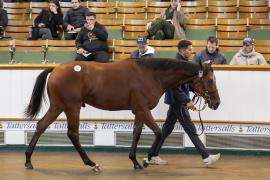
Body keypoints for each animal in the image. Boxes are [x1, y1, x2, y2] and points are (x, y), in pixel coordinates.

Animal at [24, 58, 219, 172]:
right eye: (210, 80)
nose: (216, 103)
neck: (151, 75)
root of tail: (56, 69)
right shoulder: (143, 109)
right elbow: (158, 132)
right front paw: (146, 160)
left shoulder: (139, 111)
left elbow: (136, 134)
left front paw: (135, 162)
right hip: (72, 108)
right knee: (73, 134)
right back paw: (92, 163)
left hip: (57, 107)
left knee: (41, 126)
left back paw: (28, 160)